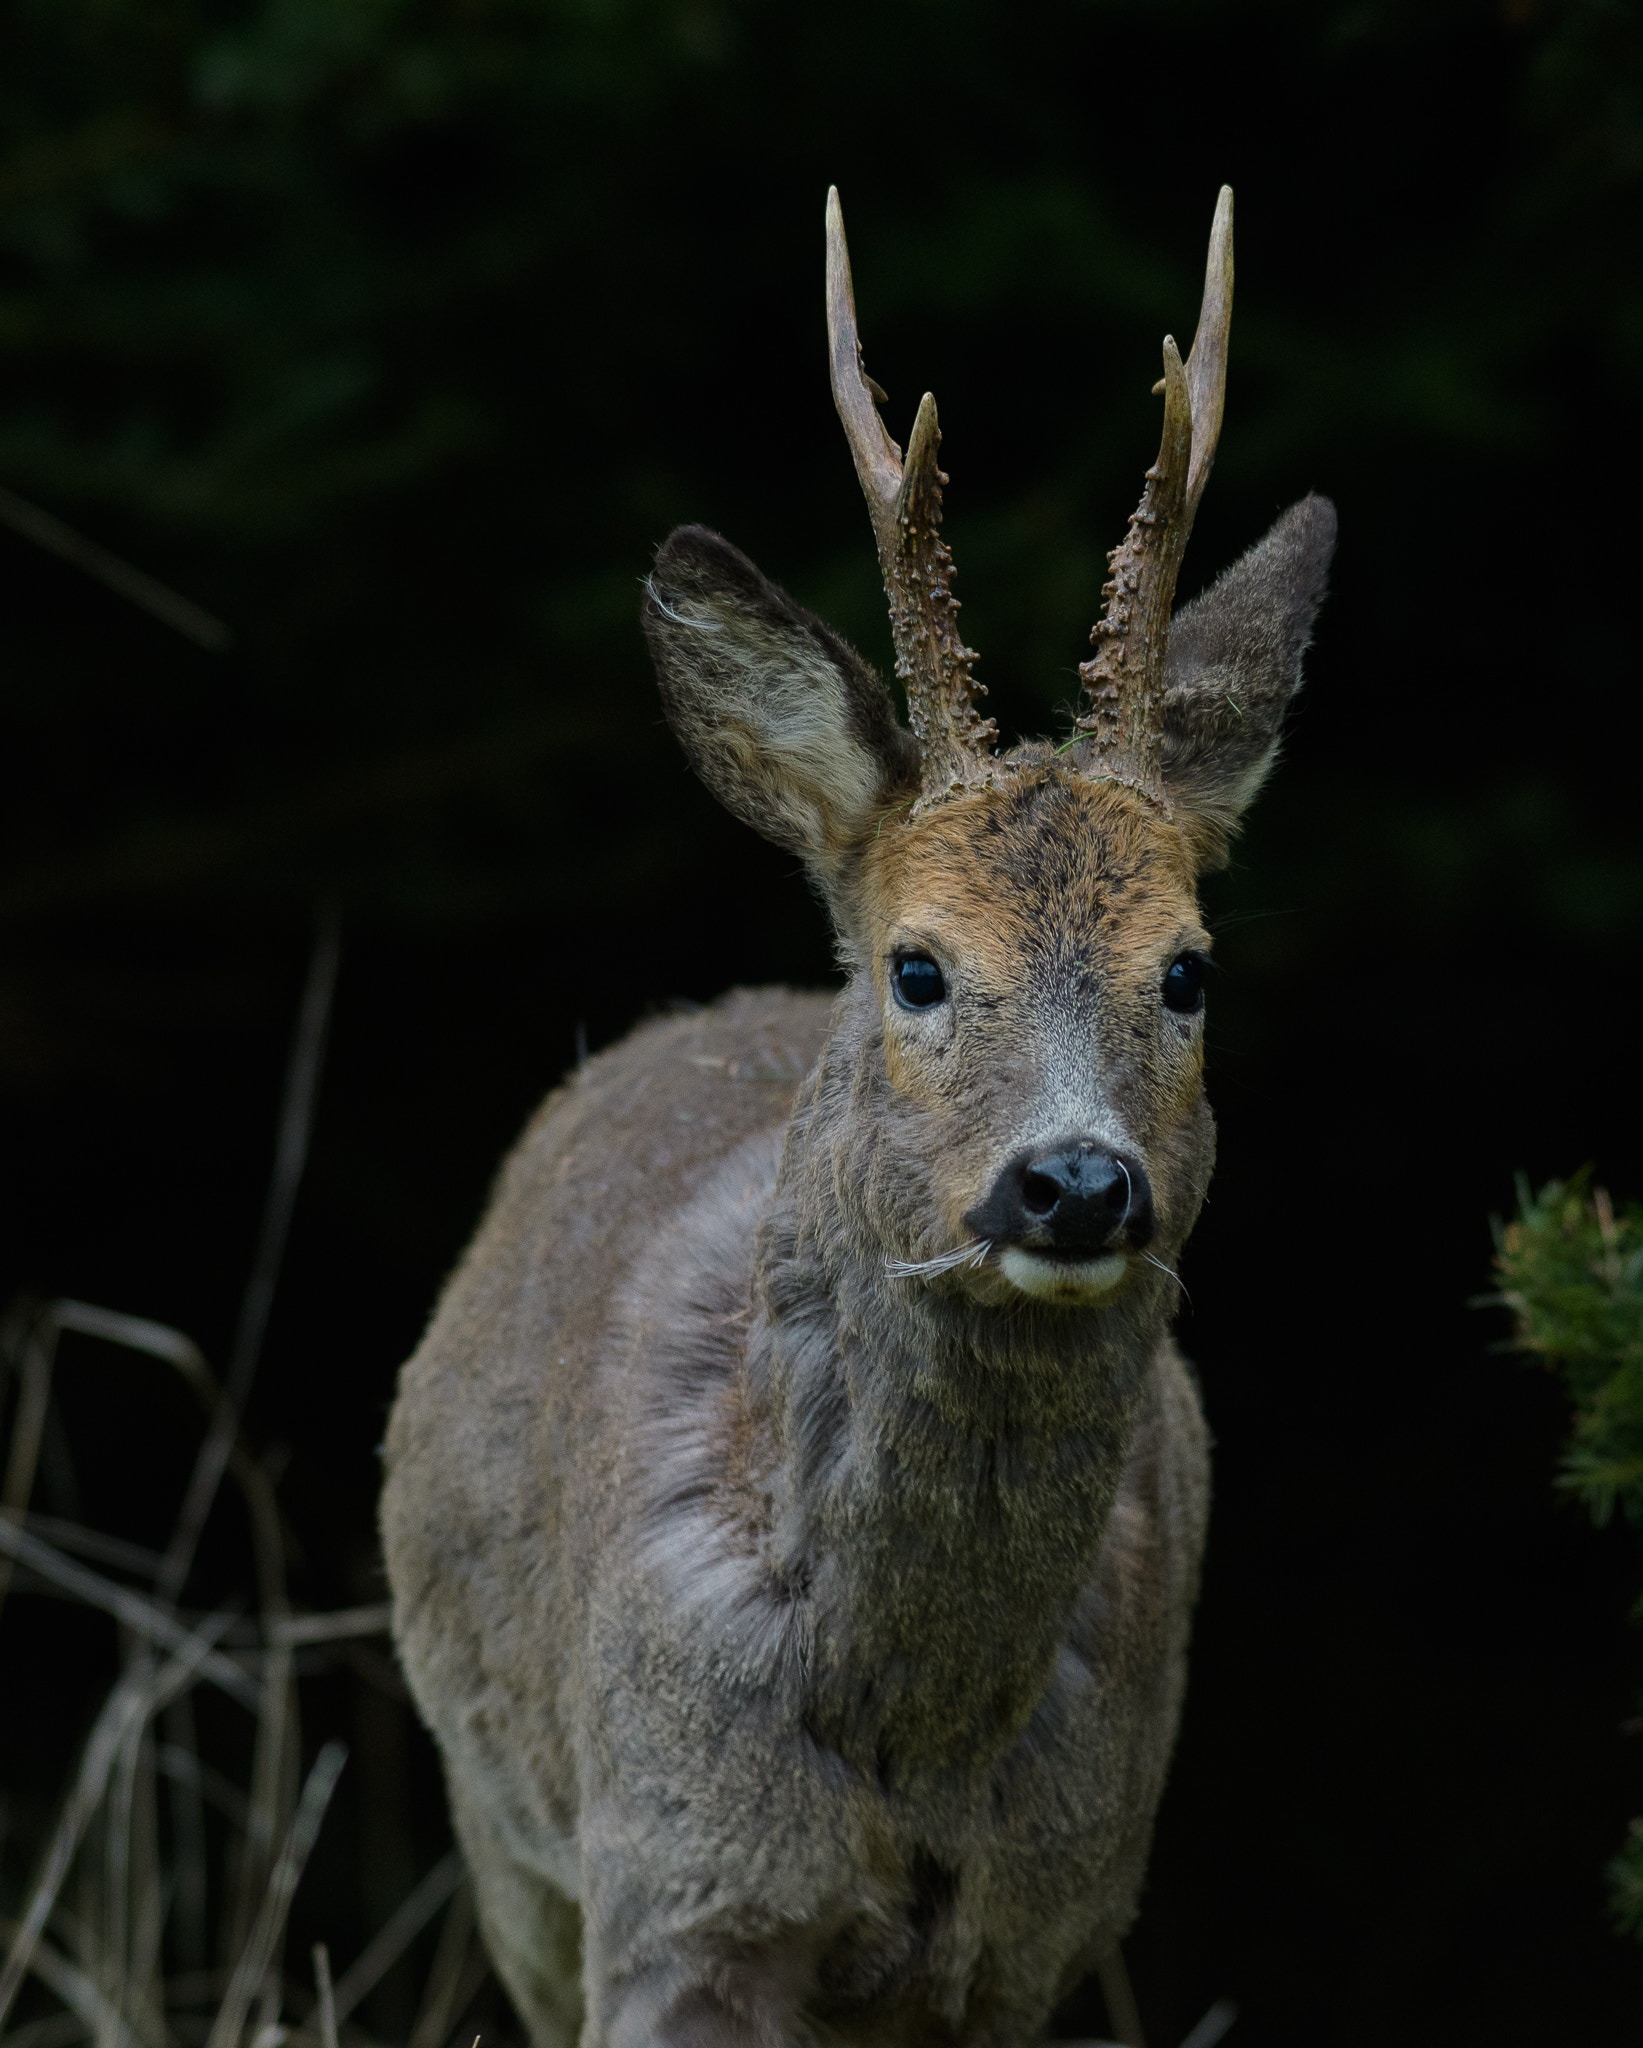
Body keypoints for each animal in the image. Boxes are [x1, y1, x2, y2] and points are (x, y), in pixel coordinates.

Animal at [385, 188, 1327, 2048]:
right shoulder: (670, 1888)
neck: (914, 1728)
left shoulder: (1038, 1925)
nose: (1070, 1184)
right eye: (917, 963)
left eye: (1185, 970)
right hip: (499, 1823)